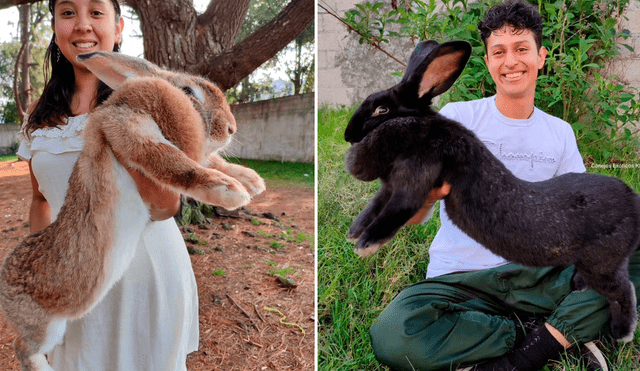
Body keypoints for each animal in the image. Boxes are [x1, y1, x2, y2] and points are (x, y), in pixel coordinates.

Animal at [0, 50, 264, 370]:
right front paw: (230, 192)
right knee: (22, 347)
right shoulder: (130, 130)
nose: (230, 129)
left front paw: (251, 181)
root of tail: (3, 277)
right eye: (188, 92)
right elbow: (176, 164)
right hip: (44, 325)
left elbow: (211, 160)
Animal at [344, 40, 640, 342]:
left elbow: (395, 211)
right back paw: (576, 287)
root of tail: (633, 202)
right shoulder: (391, 187)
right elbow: (375, 206)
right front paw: (354, 233)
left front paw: (365, 246)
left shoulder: (415, 180)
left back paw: (623, 333)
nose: (348, 135)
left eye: (382, 110)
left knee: (624, 290)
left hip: (603, 264)